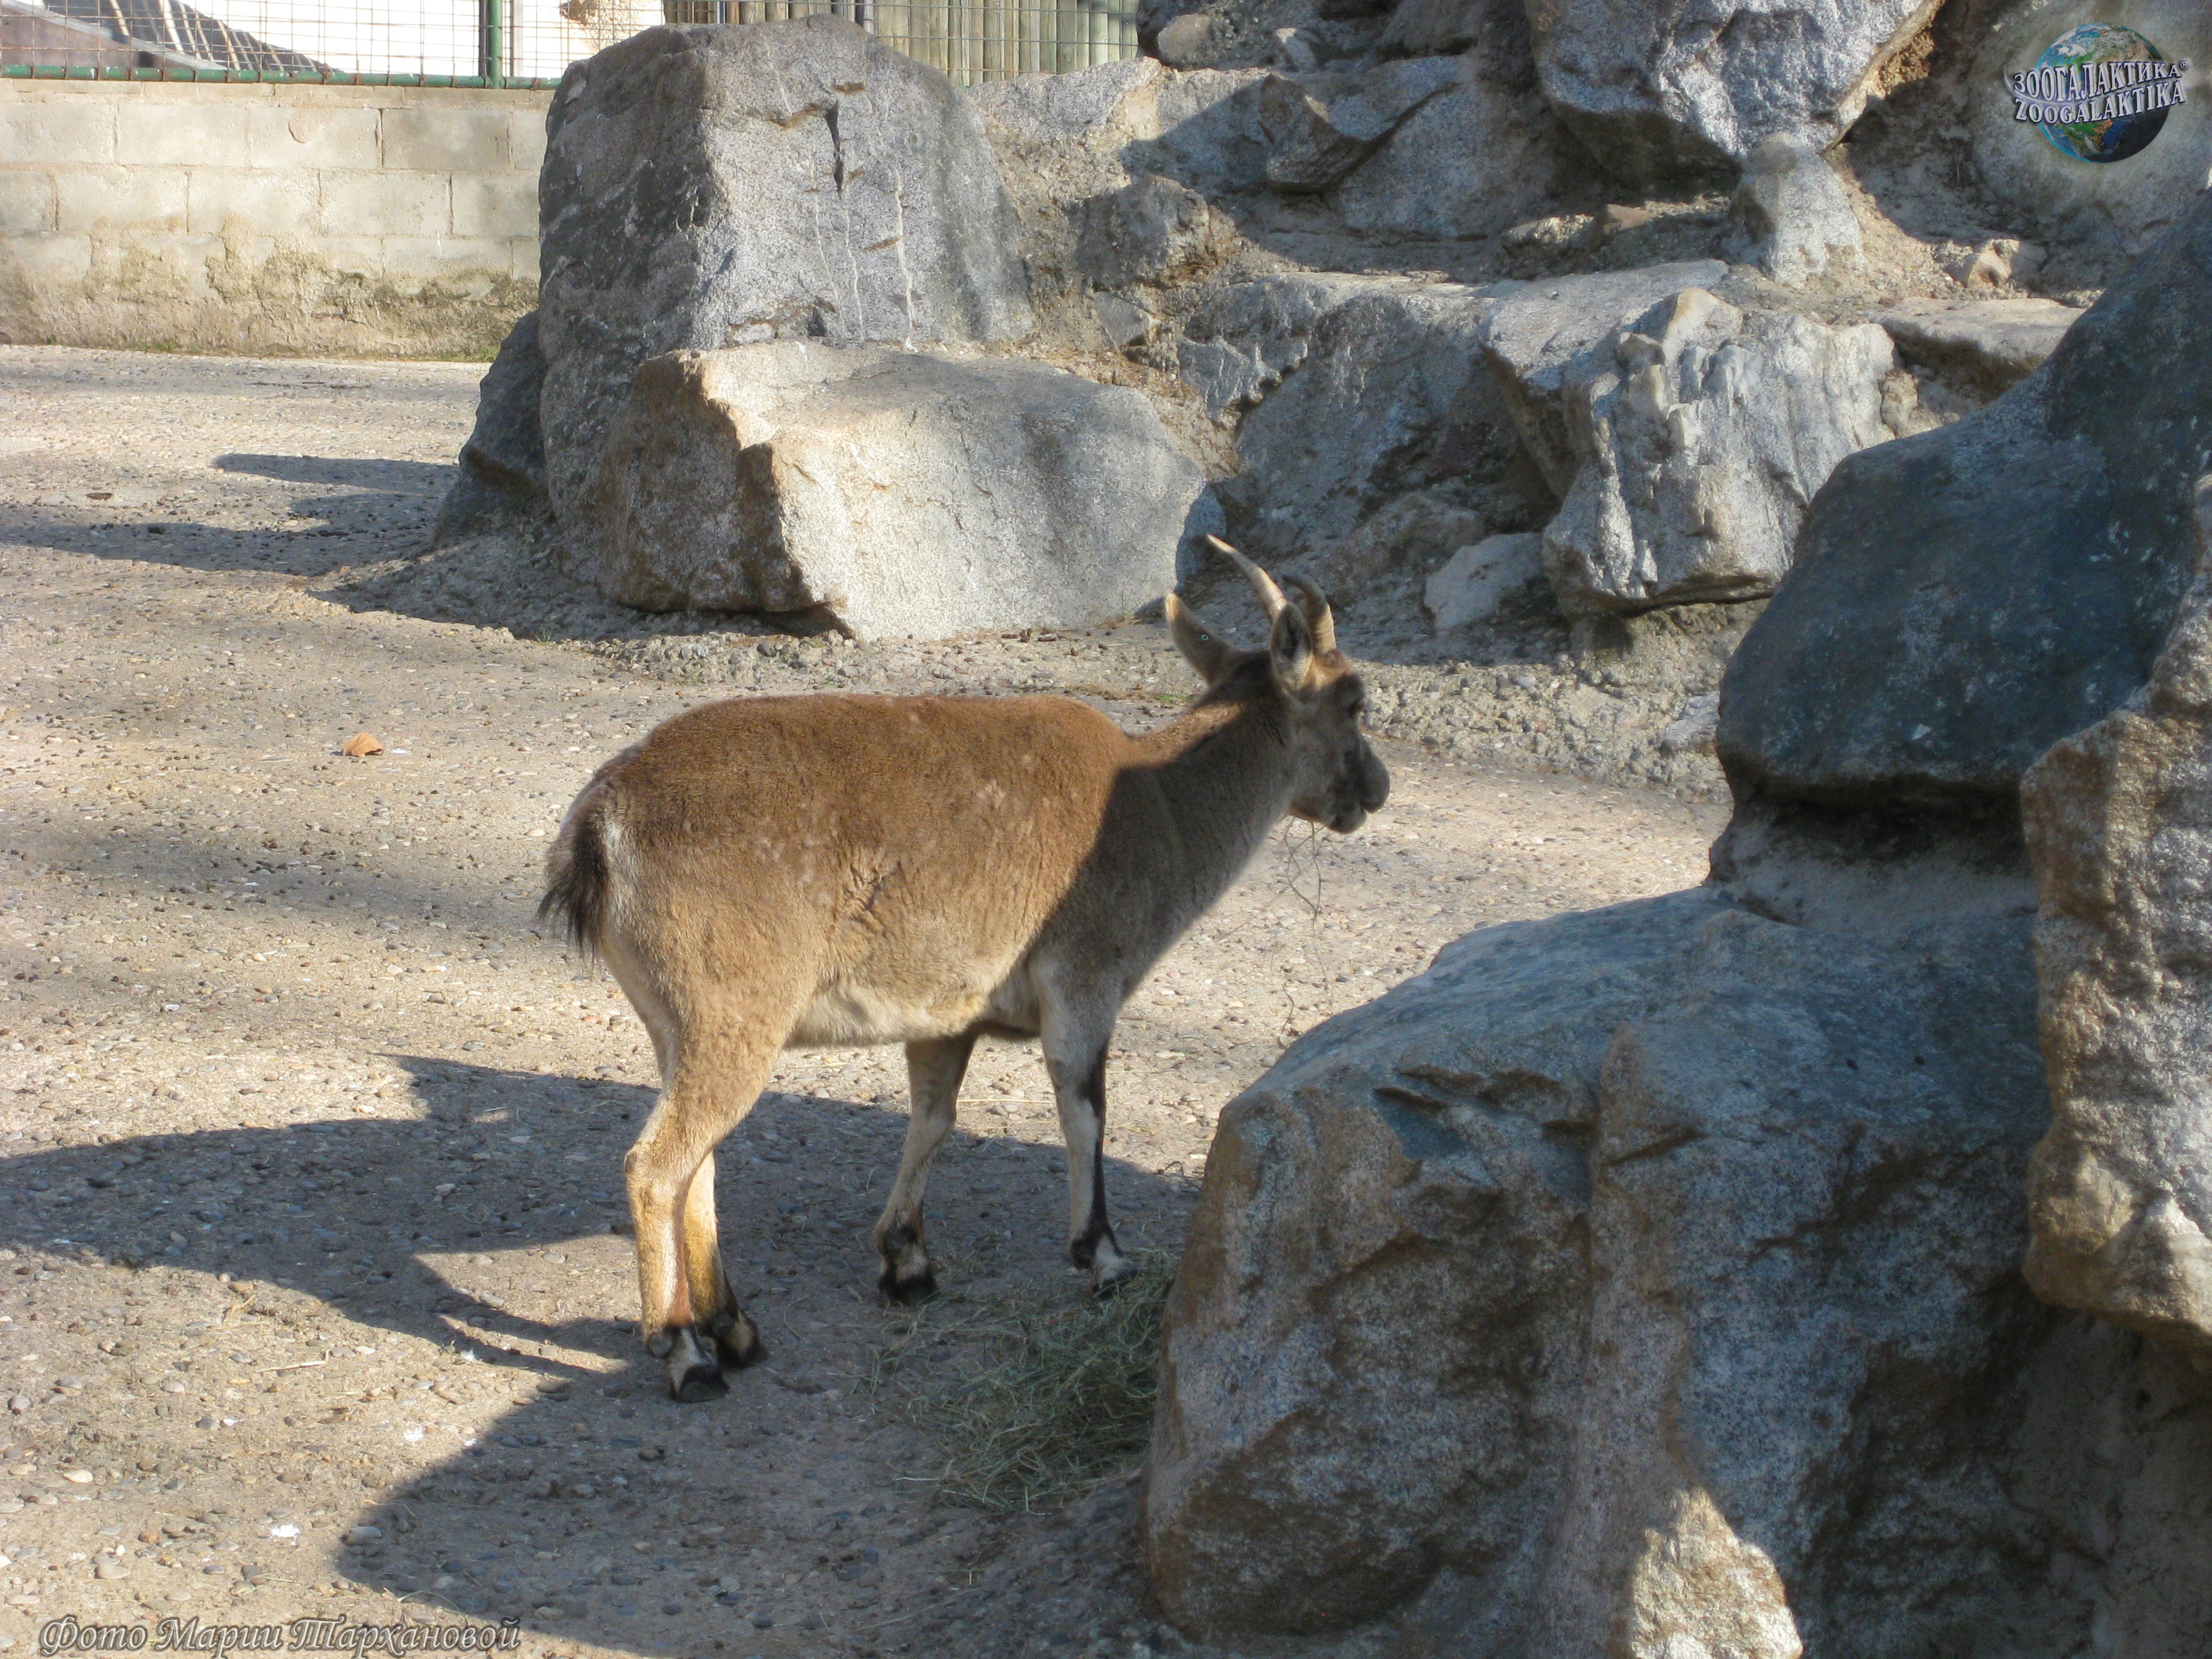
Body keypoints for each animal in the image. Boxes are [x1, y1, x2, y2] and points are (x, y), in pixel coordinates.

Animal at [539, 542, 1389, 1401]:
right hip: (734, 1012)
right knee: (656, 1168)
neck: (1163, 804)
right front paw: (1104, 1257)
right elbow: (1085, 1108)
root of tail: (599, 830)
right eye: (1354, 701)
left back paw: (737, 1331)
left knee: (697, 1165)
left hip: (675, 1022)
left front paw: (907, 1261)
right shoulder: (1085, 978)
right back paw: (685, 1351)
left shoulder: (945, 1015)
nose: (1376, 790)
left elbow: (934, 1117)